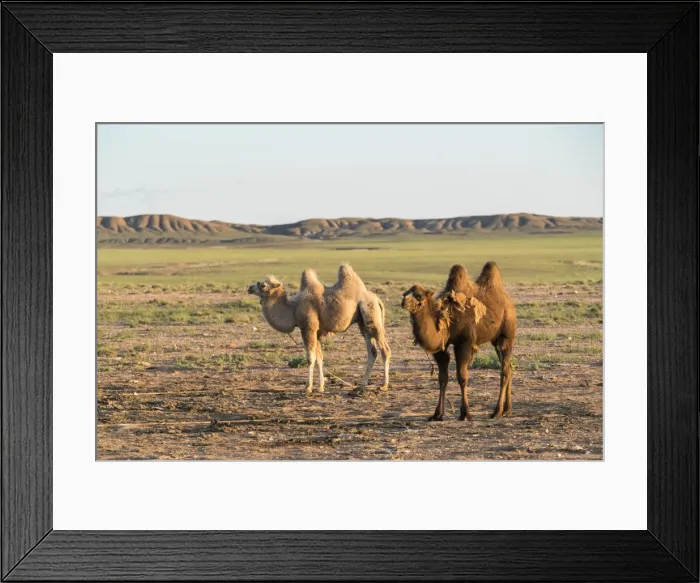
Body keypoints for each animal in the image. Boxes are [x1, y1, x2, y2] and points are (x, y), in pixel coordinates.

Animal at [248, 263, 391, 394]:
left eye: (263, 285)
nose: (249, 288)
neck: (293, 309)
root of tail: (377, 299)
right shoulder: (317, 332)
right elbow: (319, 358)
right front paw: (321, 387)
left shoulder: (308, 329)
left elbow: (310, 358)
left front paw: (308, 388)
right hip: (363, 324)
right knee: (372, 352)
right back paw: (361, 387)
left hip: (371, 315)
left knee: (385, 350)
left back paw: (383, 386)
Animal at [401, 262, 516, 421]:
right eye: (404, 293)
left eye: (418, 296)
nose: (403, 301)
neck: (446, 322)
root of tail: (508, 301)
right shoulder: (441, 348)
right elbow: (442, 378)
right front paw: (437, 414)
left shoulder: (464, 343)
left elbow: (462, 377)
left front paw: (465, 413)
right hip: (495, 340)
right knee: (509, 368)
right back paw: (507, 410)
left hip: (506, 335)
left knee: (504, 371)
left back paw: (496, 411)